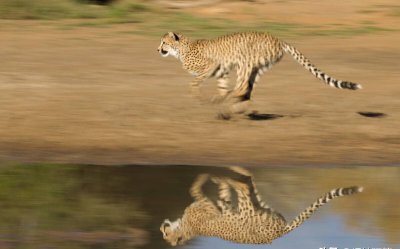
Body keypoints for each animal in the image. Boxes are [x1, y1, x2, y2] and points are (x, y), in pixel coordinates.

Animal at [157, 31, 362, 115]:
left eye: (164, 42)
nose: (157, 49)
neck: (181, 49)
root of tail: (278, 39)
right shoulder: (221, 71)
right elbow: (221, 86)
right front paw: (219, 97)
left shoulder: (211, 65)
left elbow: (193, 82)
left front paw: (198, 96)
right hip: (257, 67)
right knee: (246, 90)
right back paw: (233, 106)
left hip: (244, 61)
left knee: (241, 88)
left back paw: (228, 103)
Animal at [159, 166, 362, 246]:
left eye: (165, 235)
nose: (161, 228)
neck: (185, 228)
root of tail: (280, 233)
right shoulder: (217, 205)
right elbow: (215, 194)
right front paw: (213, 180)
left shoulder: (212, 205)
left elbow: (195, 188)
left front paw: (206, 177)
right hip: (255, 208)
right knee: (247, 184)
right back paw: (231, 175)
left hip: (249, 208)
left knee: (245, 183)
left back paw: (230, 174)